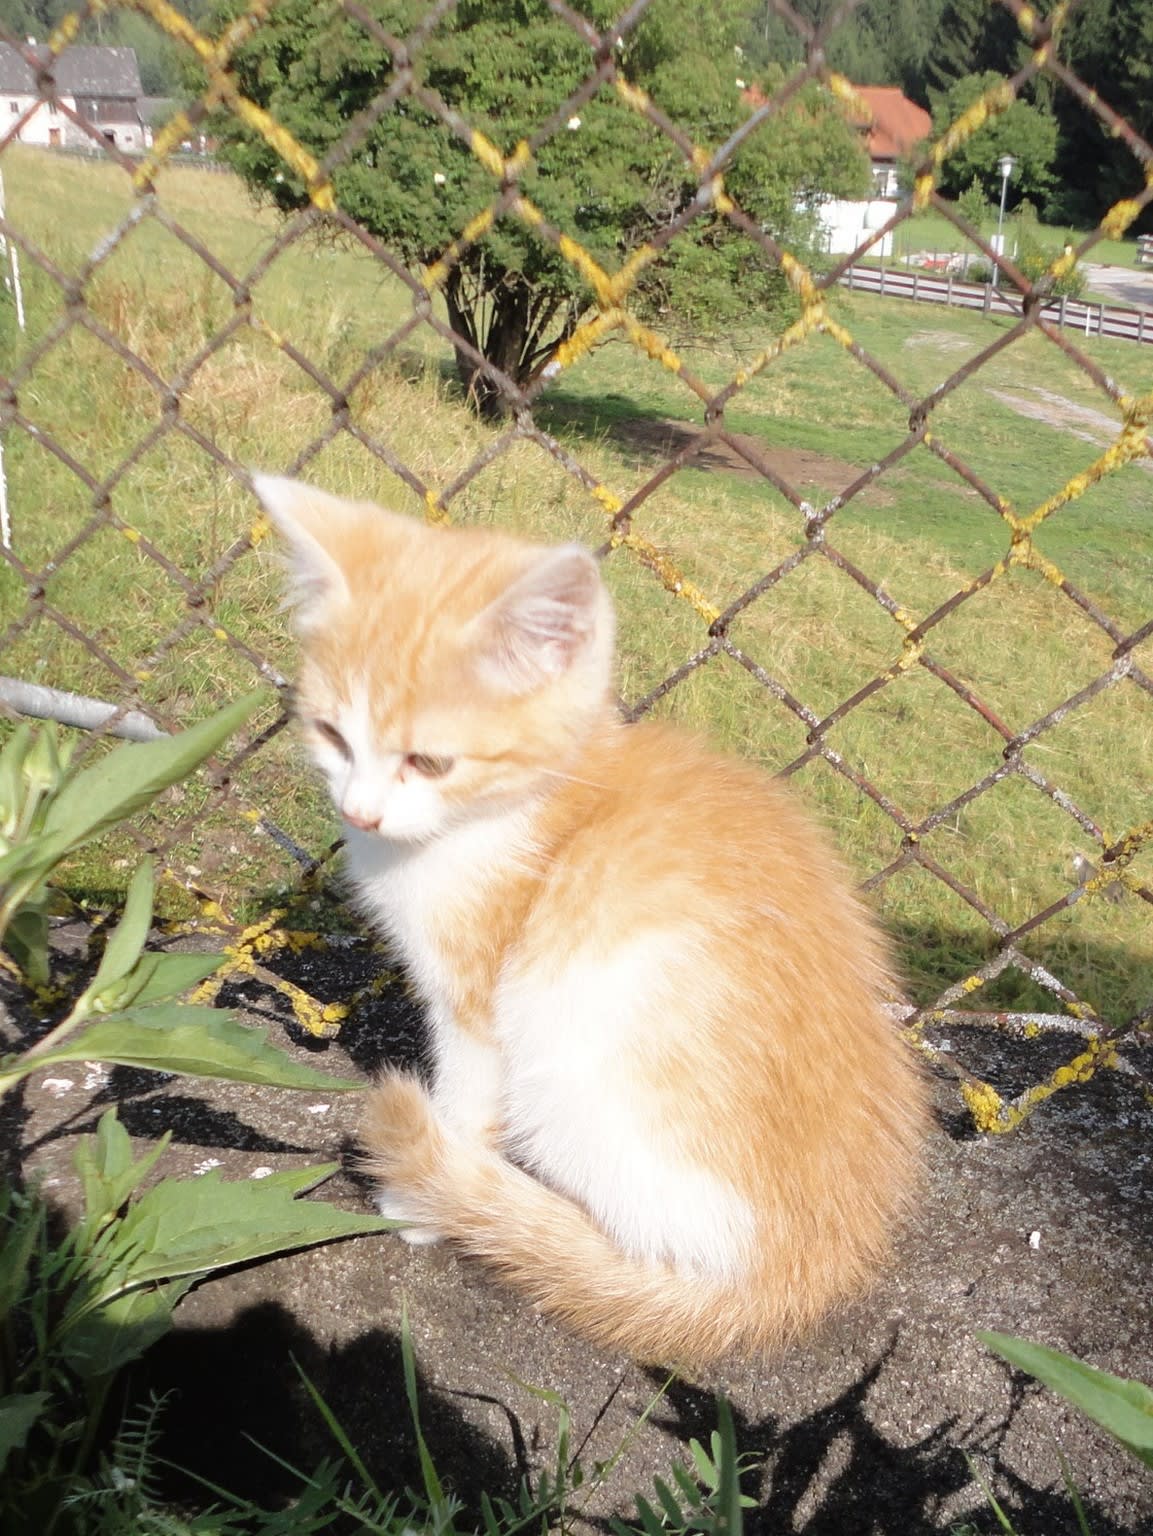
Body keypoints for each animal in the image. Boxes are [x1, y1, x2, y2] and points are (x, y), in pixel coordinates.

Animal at [255, 473, 929, 1365]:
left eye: (429, 761)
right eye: (332, 733)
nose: (360, 812)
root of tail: (802, 1275)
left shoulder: (477, 995)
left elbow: (467, 1095)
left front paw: (431, 1198)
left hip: (575, 1052)